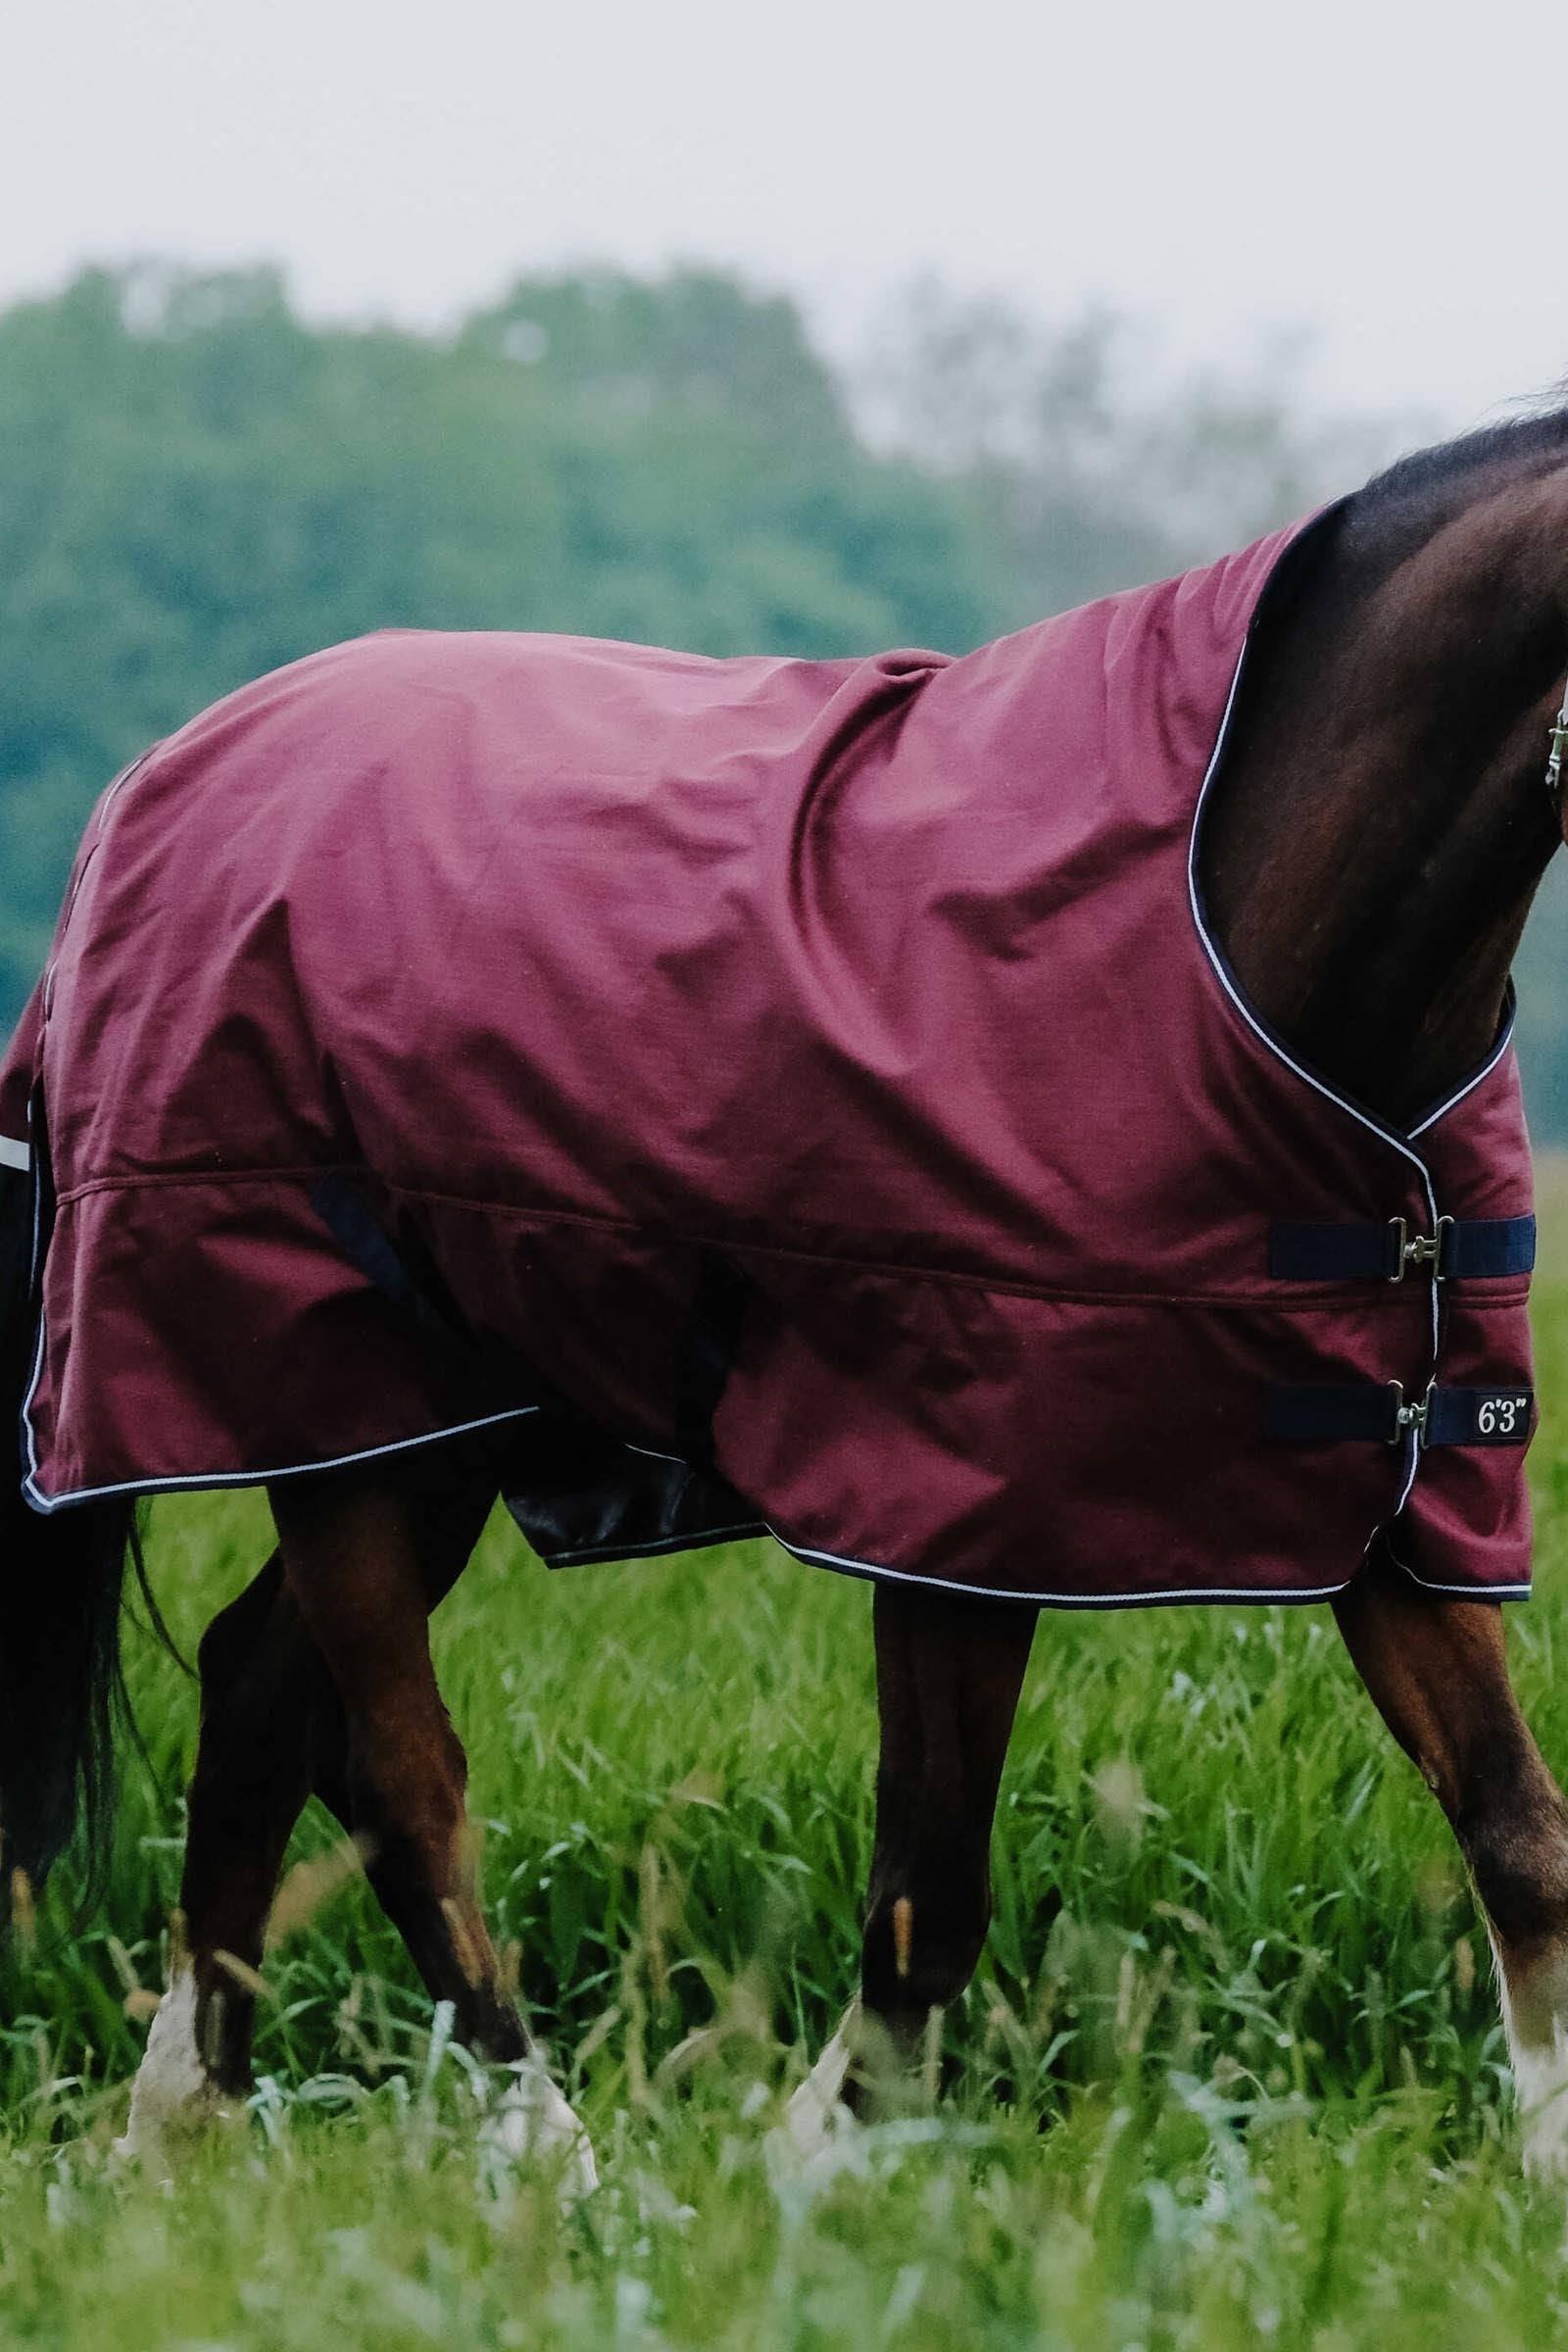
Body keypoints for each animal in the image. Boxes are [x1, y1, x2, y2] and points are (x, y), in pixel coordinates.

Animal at [4, 405, 1568, 2188]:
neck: (1243, 925)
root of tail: (151, 784)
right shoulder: (958, 1510)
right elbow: (930, 1890)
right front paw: (813, 2166)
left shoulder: (1384, 1478)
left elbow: (1517, 1827)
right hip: (331, 1398)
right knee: (400, 1778)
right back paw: (546, 2153)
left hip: (425, 1432)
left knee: (259, 1691)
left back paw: (179, 2122)